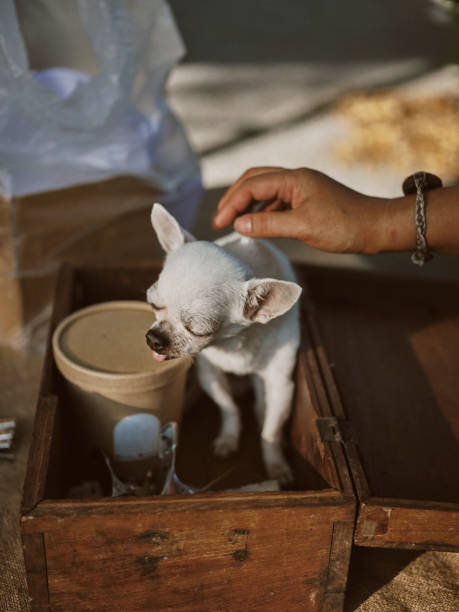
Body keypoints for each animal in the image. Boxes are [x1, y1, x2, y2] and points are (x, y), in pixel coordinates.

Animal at [146, 204, 302, 482]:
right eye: (154, 304)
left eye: (197, 330)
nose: (154, 338)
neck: (234, 345)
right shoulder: (210, 374)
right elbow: (228, 407)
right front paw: (228, 439)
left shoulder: (281, 384)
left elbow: (271, 431)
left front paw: (276, 465)